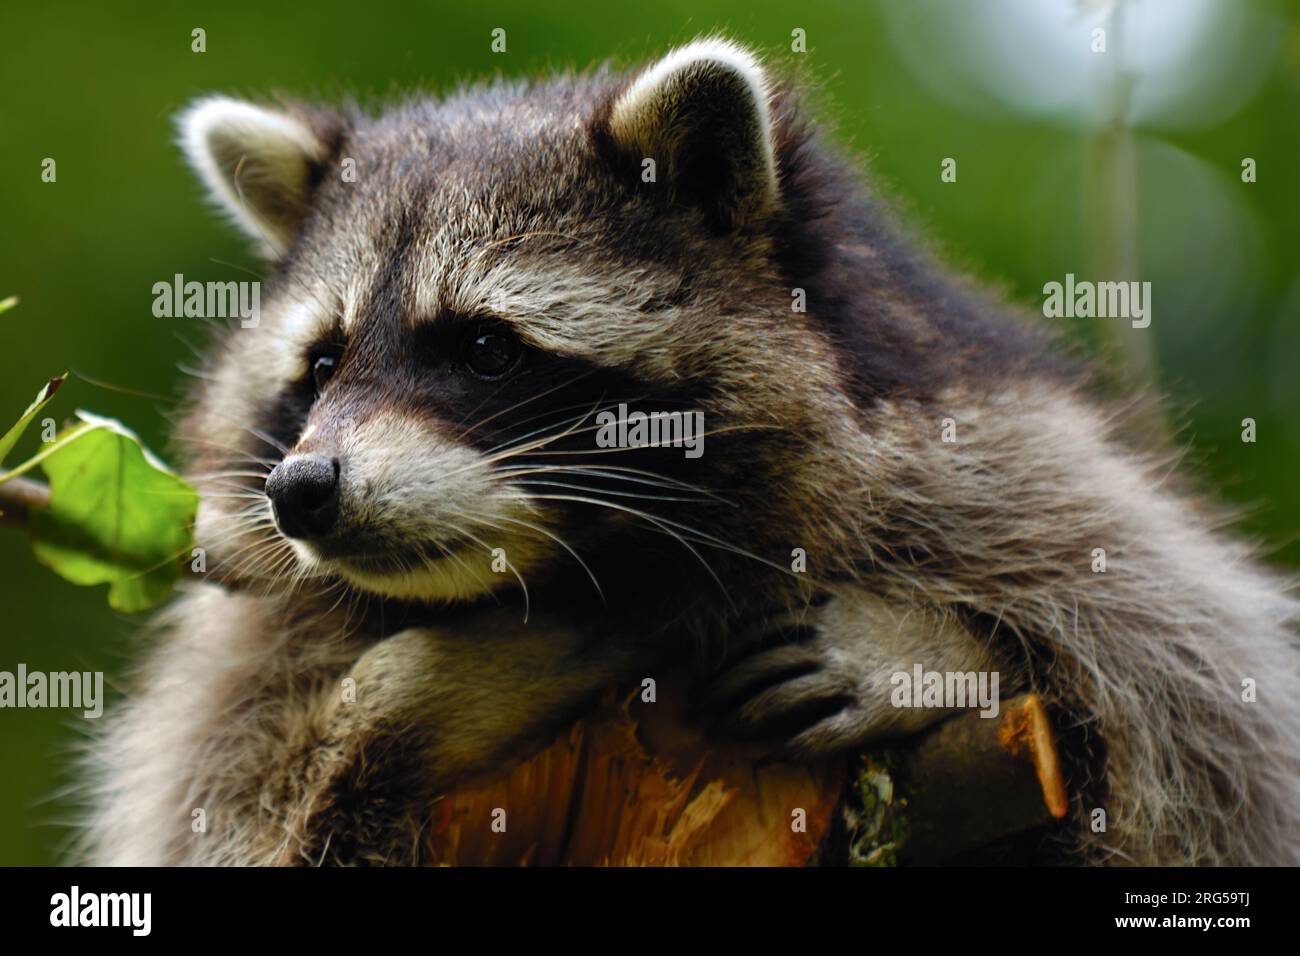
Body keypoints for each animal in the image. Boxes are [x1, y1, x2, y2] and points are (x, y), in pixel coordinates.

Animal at [78, 39, 1300, 866]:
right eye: (323, 363)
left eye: (483, 347)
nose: (304, 490)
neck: (593, 558)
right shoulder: (249, 652)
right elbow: (234, 804)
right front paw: (420, 694)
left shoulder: (1002, 448)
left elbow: (1206, 723)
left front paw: (938, 646)